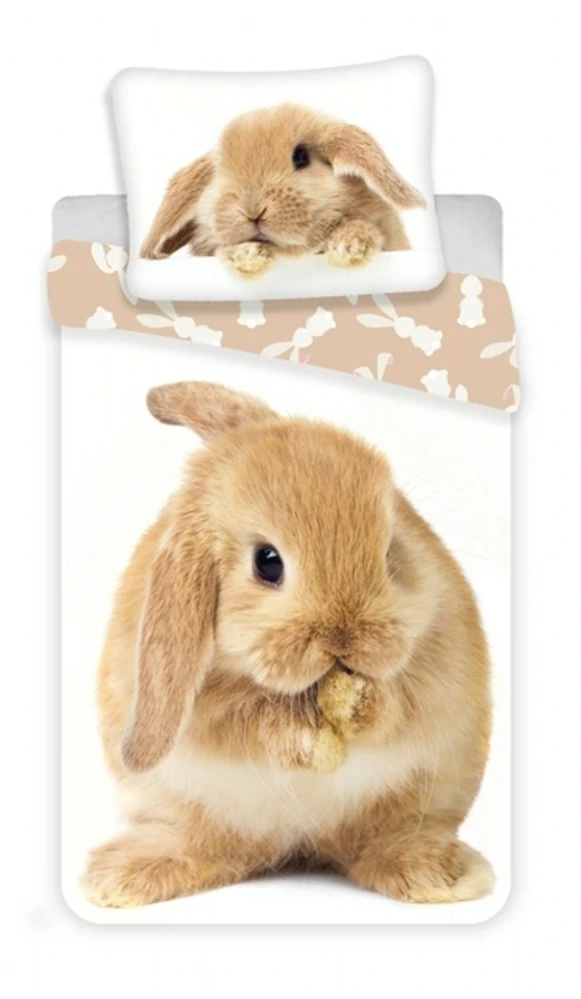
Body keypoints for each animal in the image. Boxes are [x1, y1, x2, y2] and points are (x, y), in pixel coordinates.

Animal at [82, 381, 493, 908]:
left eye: (390, 553)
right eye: (267, 562)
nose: (345, 637)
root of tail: (304, 844)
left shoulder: (435, 662)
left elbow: (398, 706)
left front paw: (359, 707)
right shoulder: (213, 714)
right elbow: (250, 720)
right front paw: (310, 738)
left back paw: (439, 874)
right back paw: (123, 878)